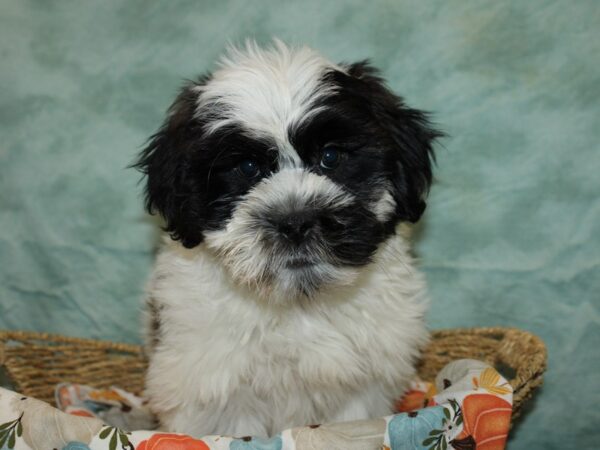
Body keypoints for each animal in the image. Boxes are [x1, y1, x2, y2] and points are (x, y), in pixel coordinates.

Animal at [138, 40, 442, 438]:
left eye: (331, 157)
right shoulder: (213, 388)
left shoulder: (363, 388)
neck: (297, 304)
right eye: (247, 168)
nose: (295, 222)